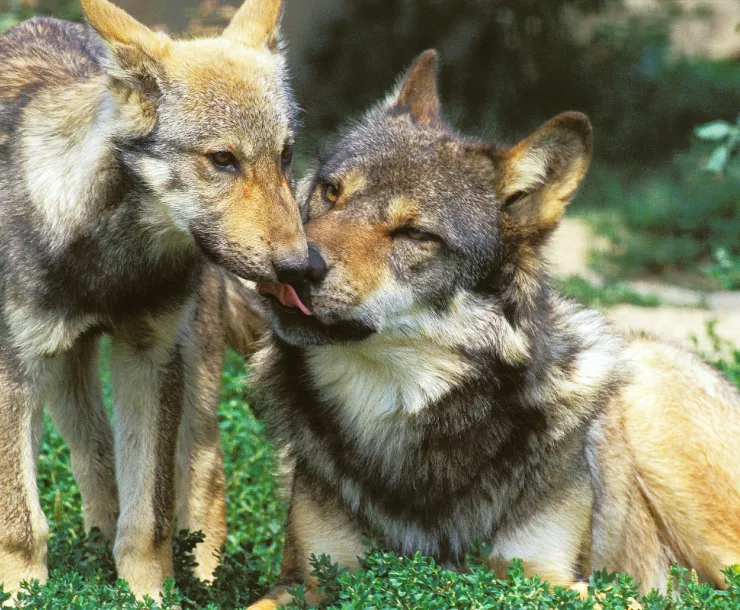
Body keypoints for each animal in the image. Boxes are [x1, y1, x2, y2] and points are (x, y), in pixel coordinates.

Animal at [0, 0, 304, 600]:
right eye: (223, 160)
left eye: (284, 156)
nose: (305, 266)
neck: (108, 261)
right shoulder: (14, 370)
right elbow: (21, 524)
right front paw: (26, 596)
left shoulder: (151, 357)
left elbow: (150, 518)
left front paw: (150, 598)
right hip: (63, 379)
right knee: (94, 460)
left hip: (189, 372)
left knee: (203, 478)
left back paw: (203, 583)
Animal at [249, 48, 740, 608]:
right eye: (330, 193)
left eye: (415, 235)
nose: (294, 269)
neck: (400, 414)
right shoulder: (306, 580)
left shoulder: (546, 578)